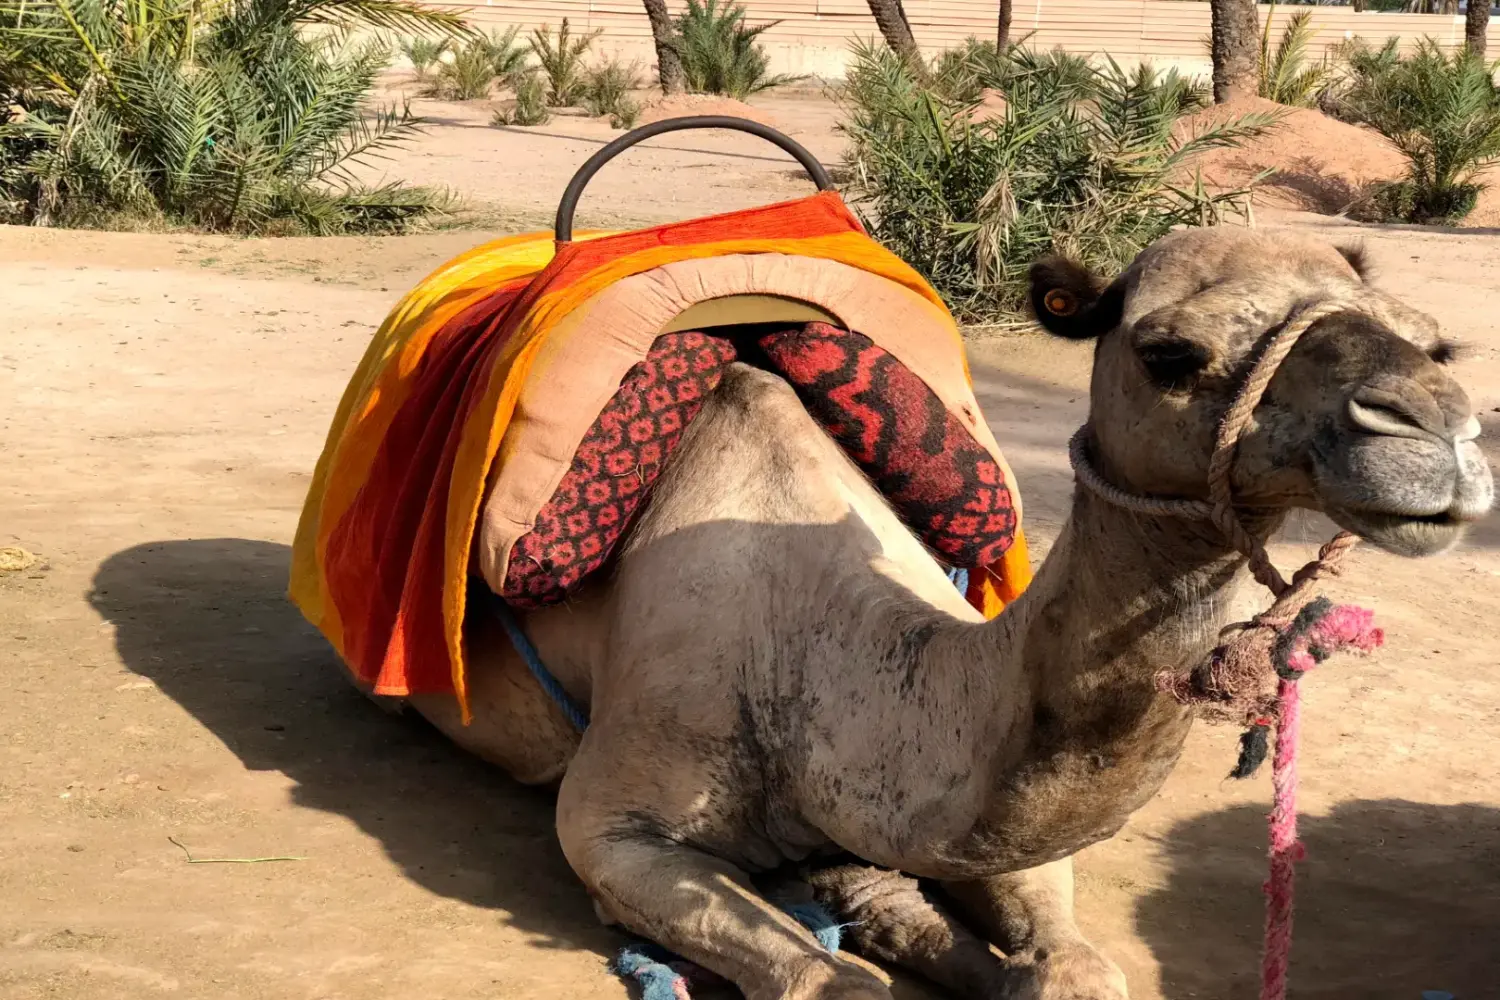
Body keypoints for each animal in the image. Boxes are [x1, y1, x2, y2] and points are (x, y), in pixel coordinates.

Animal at [394, 227, 1493, 1000]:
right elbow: (828, 976)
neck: (815, 647)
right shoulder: (613, 823)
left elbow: (1073, 964)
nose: (1437, 433)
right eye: (1171, 353)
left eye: (1433, 339)